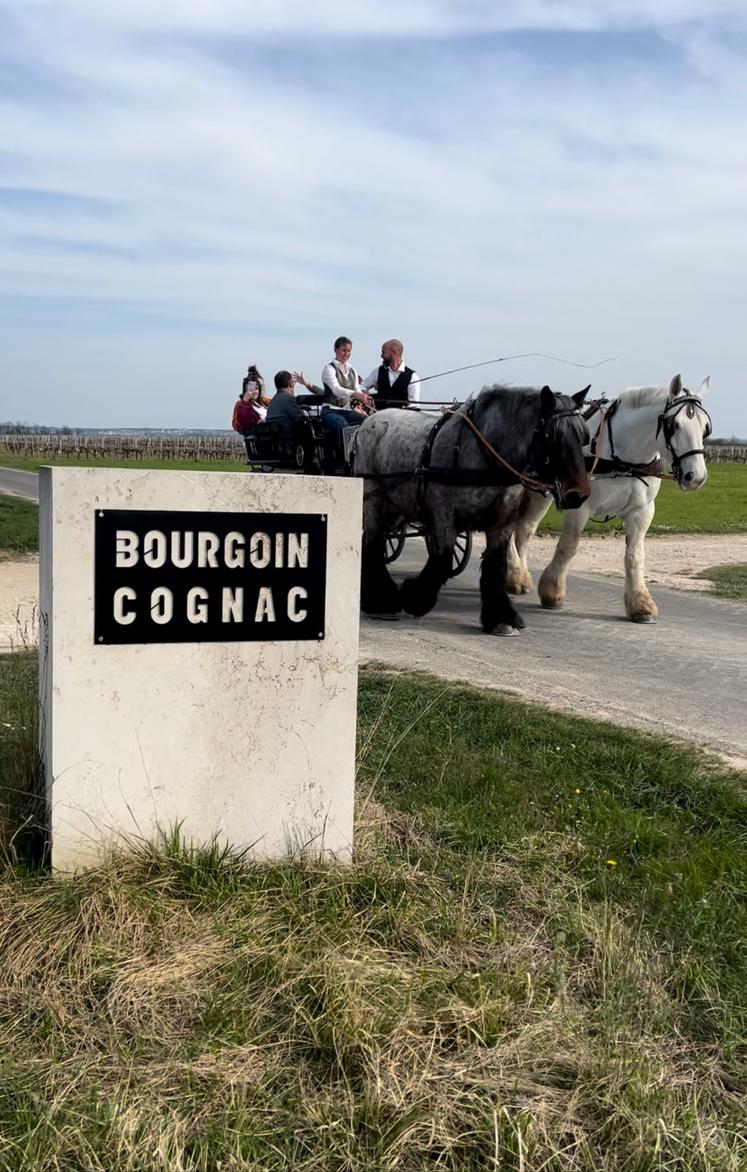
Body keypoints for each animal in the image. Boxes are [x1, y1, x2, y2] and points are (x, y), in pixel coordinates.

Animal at [351, 386, 591, 637]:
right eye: (553, 436)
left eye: (584, 436)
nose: (578, 495)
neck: (485, 456)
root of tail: (368, 422)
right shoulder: (444, 515)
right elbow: (443, 559)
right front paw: (415, 598)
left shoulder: (502, 522)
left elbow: (495, 564)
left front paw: (501, 619)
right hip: (373, 499)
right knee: (373, 543)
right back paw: (382, 601)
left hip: (395, 506)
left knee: (376, 540)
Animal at [506, 375, 712, 623]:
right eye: (674, 424)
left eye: (705, 428)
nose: (696, 477)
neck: (623, 460)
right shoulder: (579, 506)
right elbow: (568, 547)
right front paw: (552, 591)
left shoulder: (641, 511)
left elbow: (635, 555)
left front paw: (640, 603)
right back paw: (514, 573)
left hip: (539, 493)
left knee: (525, 529)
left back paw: (519, 576)